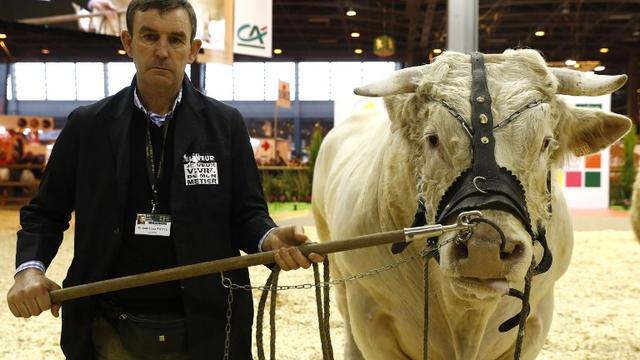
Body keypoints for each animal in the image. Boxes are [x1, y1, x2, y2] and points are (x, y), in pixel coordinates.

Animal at [312, 49, 632, 358]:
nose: (486, 245)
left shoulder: (537, 318)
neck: (467, 317)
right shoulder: (369, 314)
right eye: (432, 139)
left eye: (544, 142)